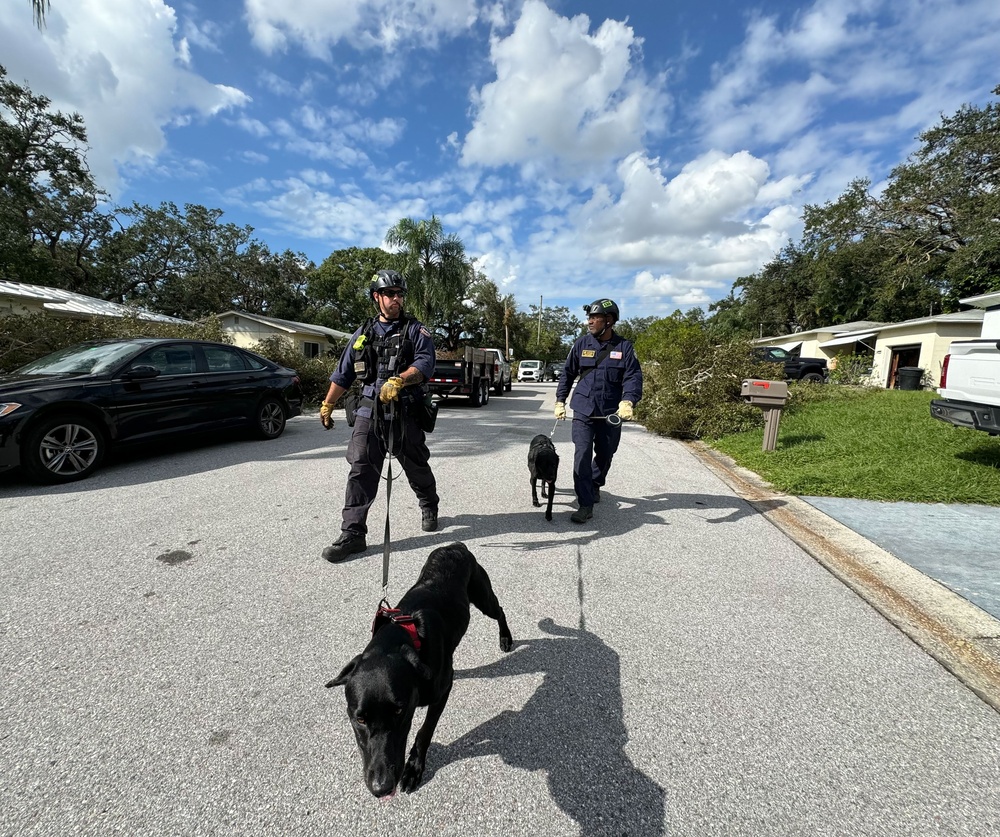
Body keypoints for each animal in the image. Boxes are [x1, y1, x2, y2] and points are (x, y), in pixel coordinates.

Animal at [328, 544, 516, 796]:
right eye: (360, 719)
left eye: (399, 711)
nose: (382, 787)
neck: (405, 638)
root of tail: (455, 546)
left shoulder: (443, 690)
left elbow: (425, 730)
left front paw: (414, 768)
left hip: (482, 596)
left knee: (500, 610)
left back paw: (505, 638)